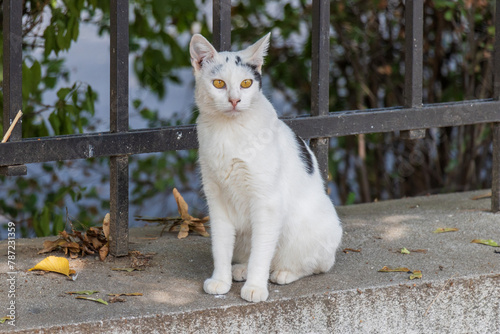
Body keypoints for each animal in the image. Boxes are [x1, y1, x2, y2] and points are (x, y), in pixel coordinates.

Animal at [189, 33, 342, 302]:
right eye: (218, 83)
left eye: (246, 83)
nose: (235, 100)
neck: (229, 130)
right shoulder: (216, 198)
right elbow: (220, 245)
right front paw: (221, 280)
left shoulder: (267, 201)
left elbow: (262, 251)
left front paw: (256, 287)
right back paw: (240, 268)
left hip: (309, 232)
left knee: (313, 265)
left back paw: (283, 273)